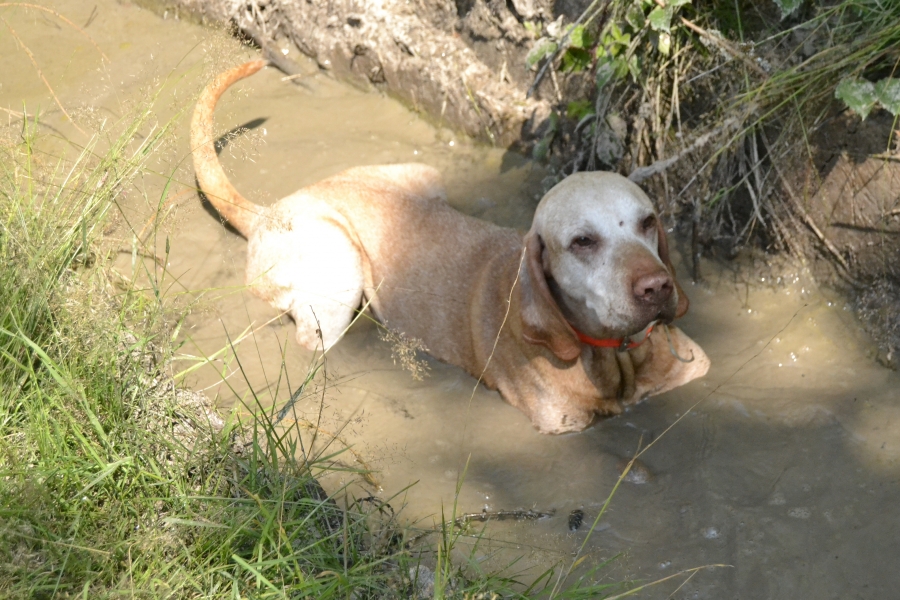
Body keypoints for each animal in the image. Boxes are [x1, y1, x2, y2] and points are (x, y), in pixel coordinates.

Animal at [191, 60, 709, 434]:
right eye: (583, 241)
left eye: (648, 222)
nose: (658, 287)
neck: (612, 356)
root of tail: (266, 211)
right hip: (338, 277)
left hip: (426, 179)